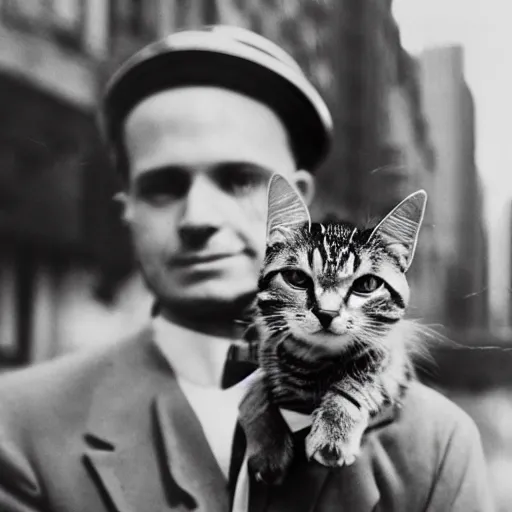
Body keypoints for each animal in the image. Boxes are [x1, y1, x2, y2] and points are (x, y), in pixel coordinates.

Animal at [240, 174, 428, 486]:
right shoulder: (267, 349)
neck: (314, 363)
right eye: (296, 278)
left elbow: (360, 379)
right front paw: (268, 447)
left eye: (367, 285)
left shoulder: (393, 356)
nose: (326, 313)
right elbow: (257, 390)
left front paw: (334, 430)